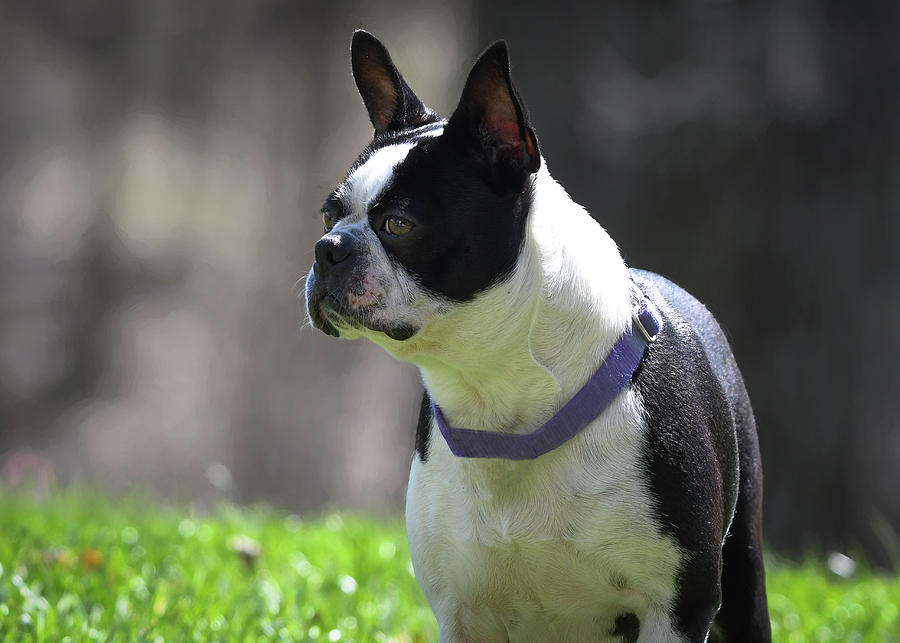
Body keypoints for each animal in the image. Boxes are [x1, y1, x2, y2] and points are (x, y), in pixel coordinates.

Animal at [306, 30, 768, 643]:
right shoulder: (463, 612)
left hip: (741, 578)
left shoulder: (674, 608)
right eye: (327, 214)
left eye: (398, 225)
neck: (502, 404)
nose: (327, 248)